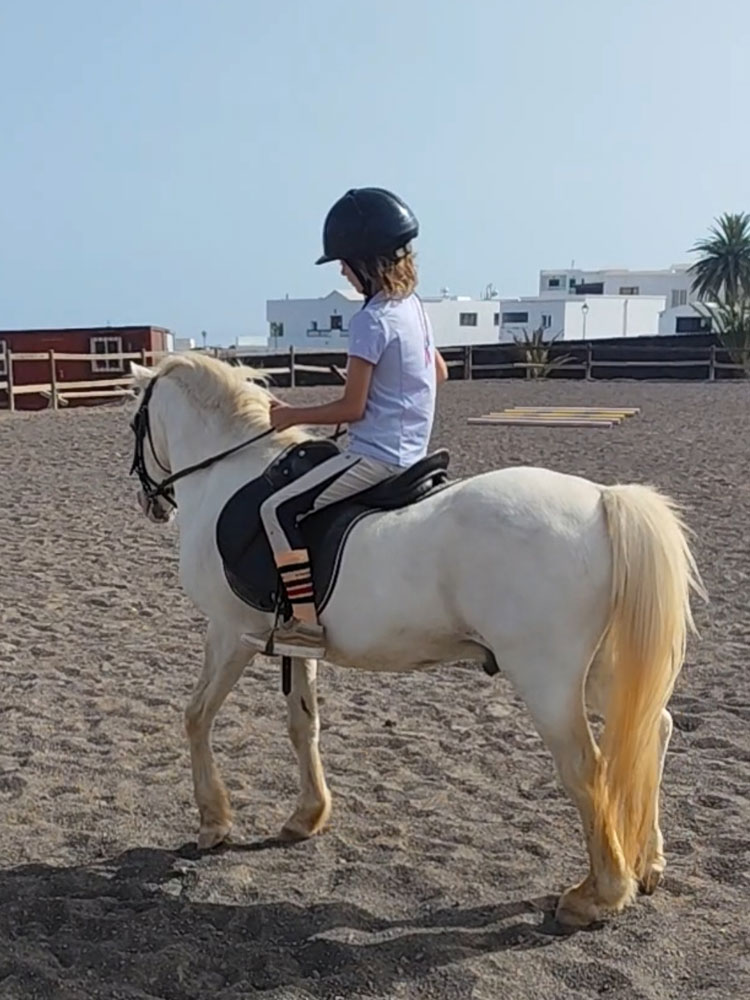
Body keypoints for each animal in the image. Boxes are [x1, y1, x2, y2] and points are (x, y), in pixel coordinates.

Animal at [126, 352, 705, 928]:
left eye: (134, 422)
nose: (151, 505)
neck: (228, 475)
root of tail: (603, 500)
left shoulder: (230, 631)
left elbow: (197, 715)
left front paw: (213, 822)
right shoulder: (295, 641)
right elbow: (302, 726)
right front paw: (307, 817)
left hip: (547, 679)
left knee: (587, 767)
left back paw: (597, 895)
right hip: (602, 670)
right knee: (651, 728)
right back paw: (647, 864)